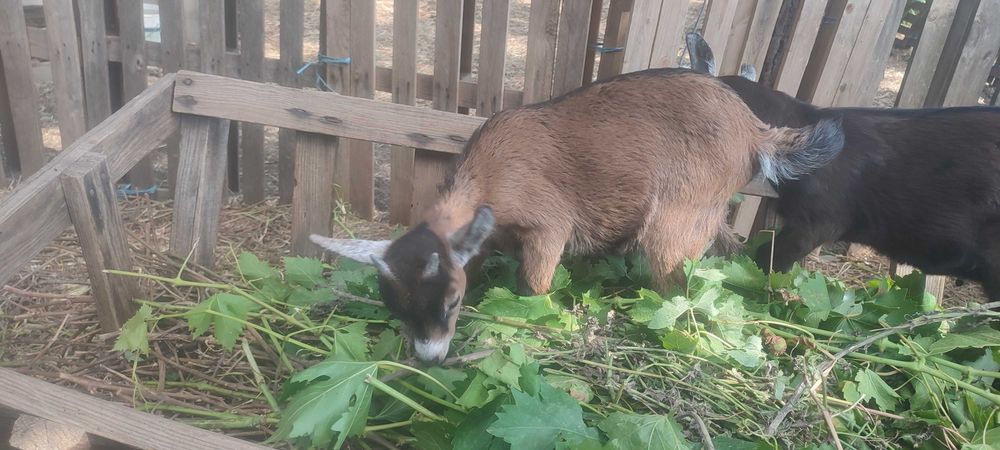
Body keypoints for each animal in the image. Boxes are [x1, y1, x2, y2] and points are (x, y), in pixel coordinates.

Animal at [311, 68, 844, 363]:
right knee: (728, 255)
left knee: (681, 284)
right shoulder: (481, 240)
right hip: (708, 212)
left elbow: (534, 286)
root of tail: (756, 131)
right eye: (395, 307)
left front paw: (542, 327)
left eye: (452, 302)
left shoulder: (549, 226)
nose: (431, 359)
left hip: (678, 215)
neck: (491, 174)